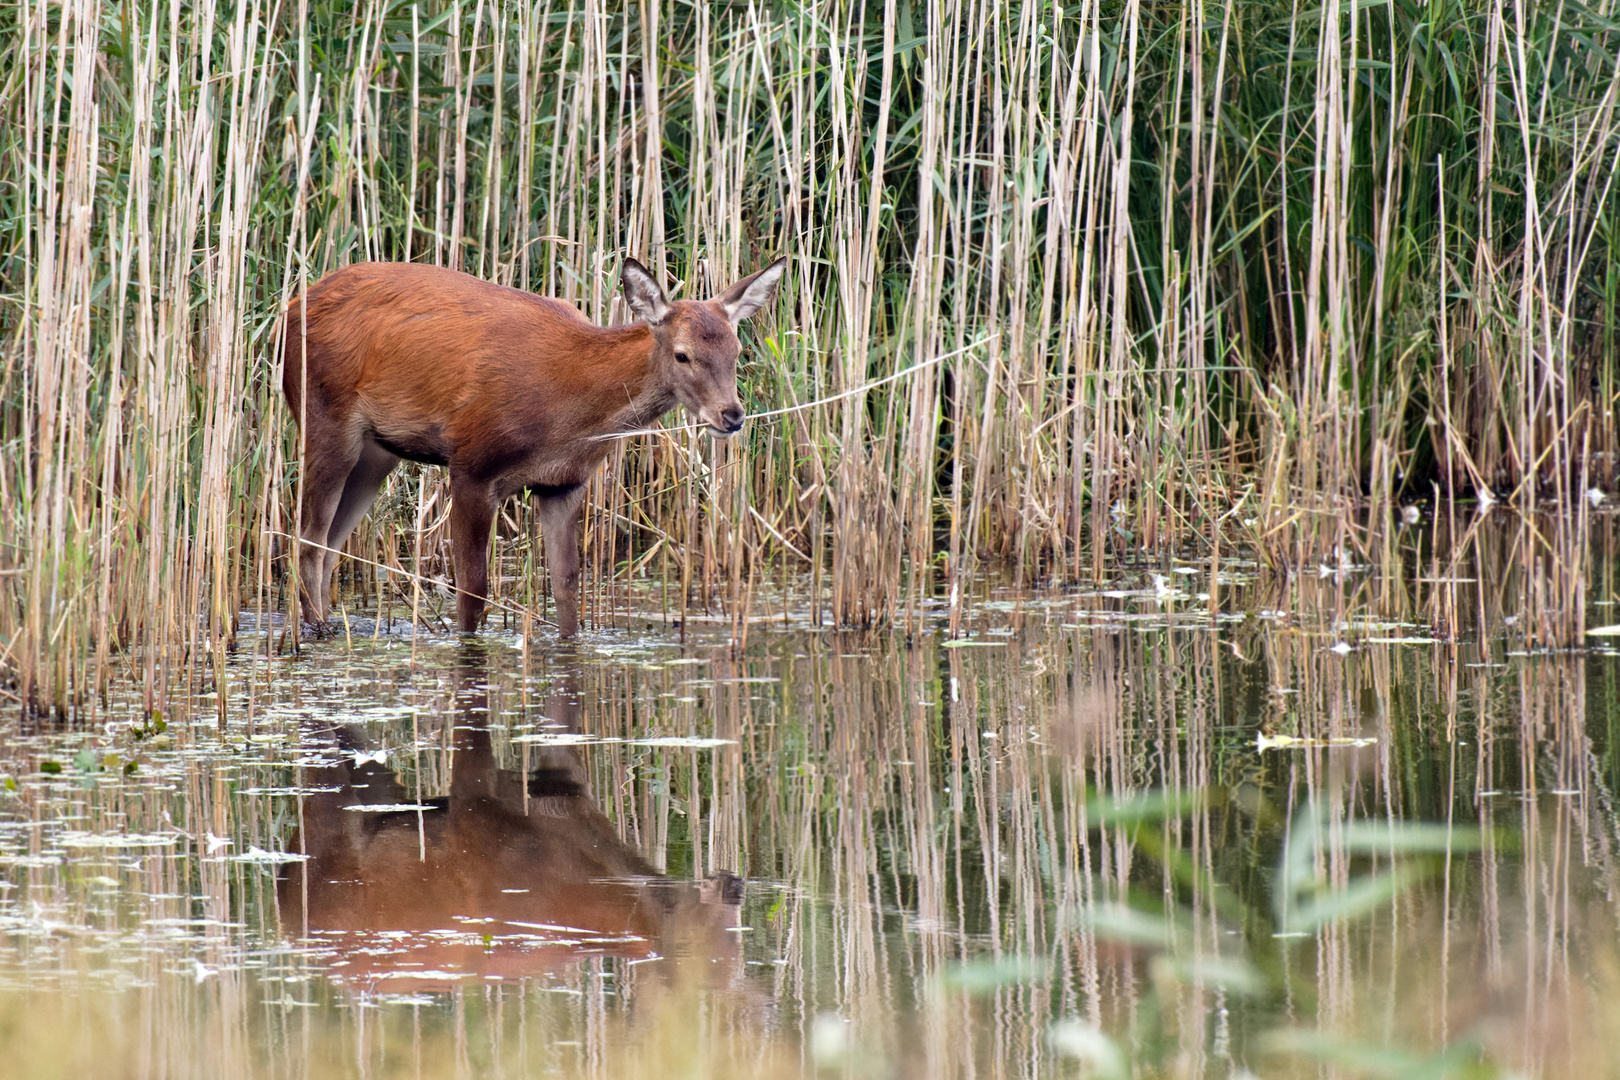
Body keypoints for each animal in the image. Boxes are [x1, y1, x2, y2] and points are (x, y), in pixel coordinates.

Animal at [281, 257, 787, 637]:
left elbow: (565, 586)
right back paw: (318, 631)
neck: (569, 409)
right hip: (324, 419)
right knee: (306, 538)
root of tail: (289, 310)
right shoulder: (472, 465)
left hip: (377, 452)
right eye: (683, 355)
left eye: (737, 350)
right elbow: (473, 590)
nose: (731, 415)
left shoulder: (563, 484)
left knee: (329, 546)